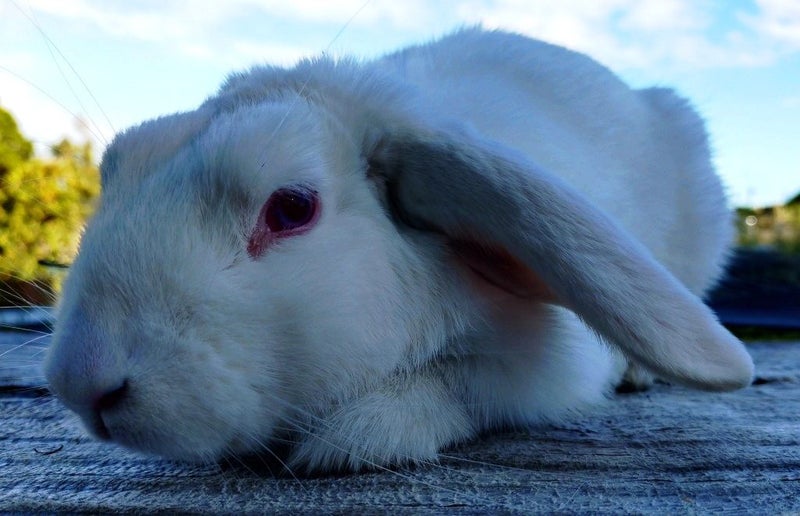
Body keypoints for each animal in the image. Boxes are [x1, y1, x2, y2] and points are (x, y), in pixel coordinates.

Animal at [44, 28, 754, 473]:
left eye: (292, 209)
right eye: (117, 167)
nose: (83, 385)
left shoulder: (544, 368)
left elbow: (460, 386)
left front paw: (356, 436)